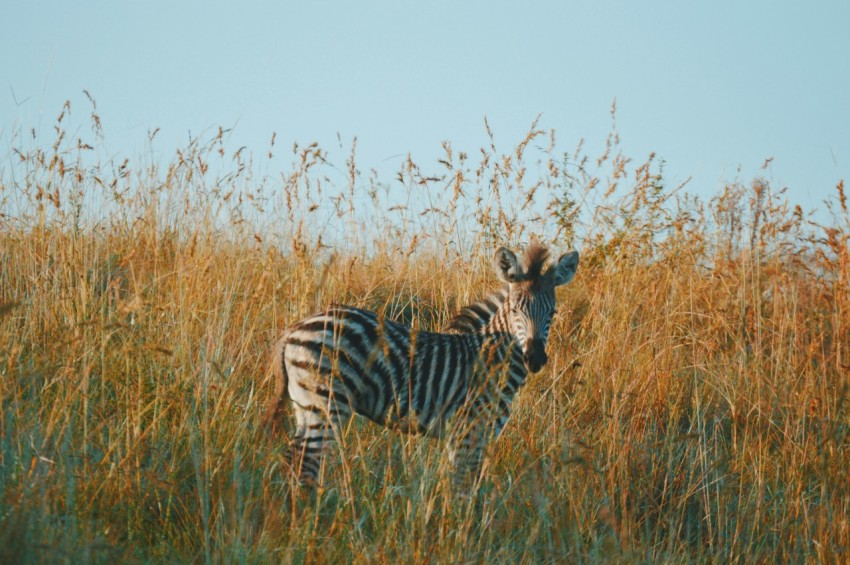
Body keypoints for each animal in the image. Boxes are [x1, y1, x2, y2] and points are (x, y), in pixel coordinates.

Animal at [262, 242, 580, 484]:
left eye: (552, 312)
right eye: (515, 309)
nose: (534, 358)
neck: (491, 358)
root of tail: (295, 327)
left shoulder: (465, 436)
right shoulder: (470, 431)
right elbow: (464, 490)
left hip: (306, 406)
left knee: (293, 461)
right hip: (325, 404)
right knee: (305, 467)